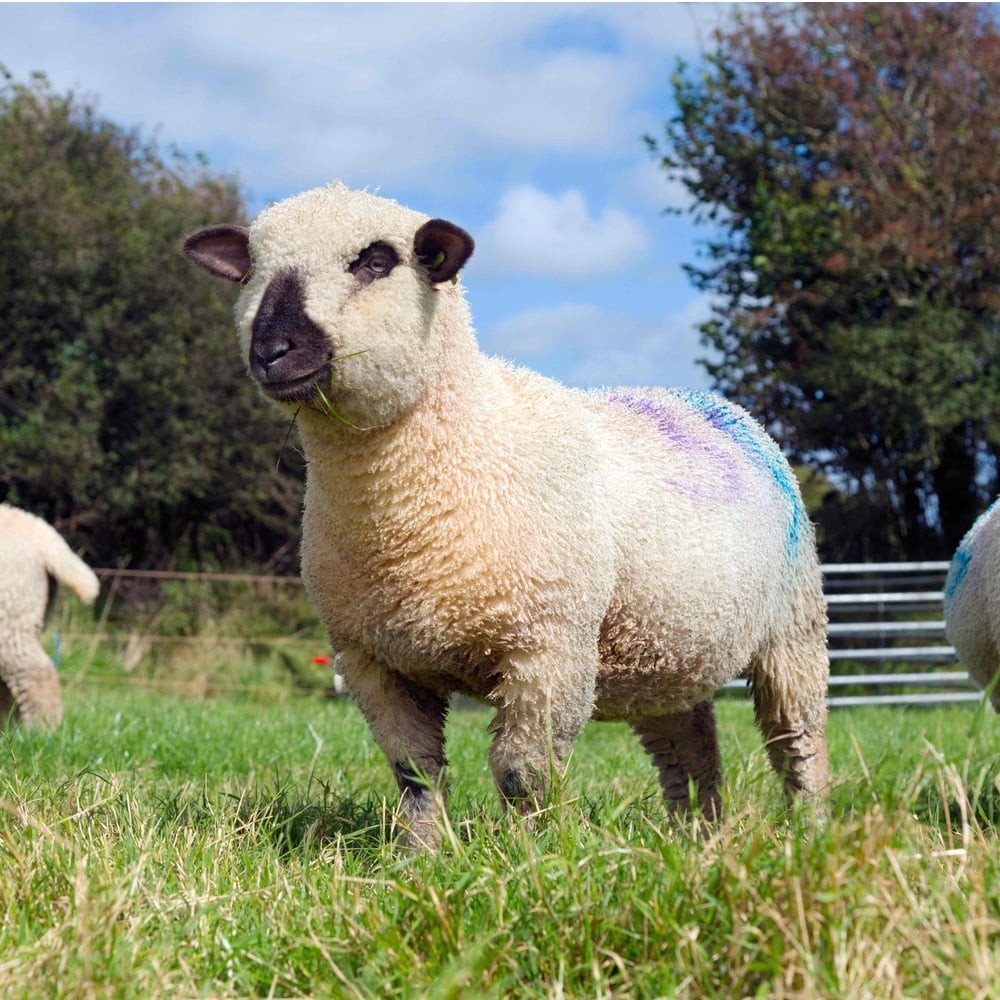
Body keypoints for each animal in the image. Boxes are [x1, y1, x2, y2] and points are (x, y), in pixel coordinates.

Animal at [184, 180, 832, 844]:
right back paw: (695, 834)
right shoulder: (373, 660)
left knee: (797, 741)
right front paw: (422, 853)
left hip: (795, 628)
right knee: (688, 744)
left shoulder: (549, 647)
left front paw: (532, 851)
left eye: (376, 260)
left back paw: (808, 826)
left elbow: (524, 773)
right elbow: (414, 773)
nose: (272, 350)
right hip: (667, 647)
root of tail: (708, 403)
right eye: (251, 271)